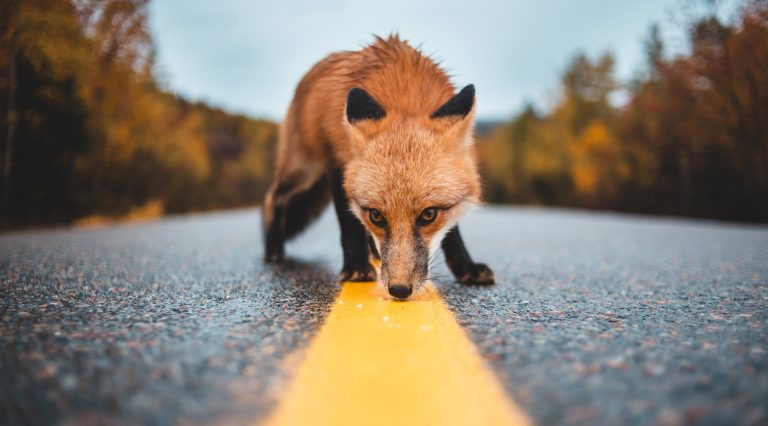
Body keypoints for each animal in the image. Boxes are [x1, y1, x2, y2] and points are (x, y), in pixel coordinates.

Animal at [260, 35, 496, 300]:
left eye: (428, 215)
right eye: (376, 216)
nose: (399, 290)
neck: (404, 92)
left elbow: (452, 231)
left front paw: (466, 266)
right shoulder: (338, 165)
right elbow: (349, 222)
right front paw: (355, 266)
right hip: (303, 171)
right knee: (273, 198)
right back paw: (273, 248)